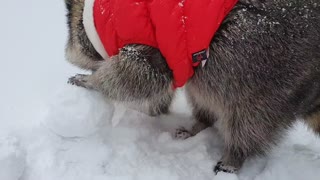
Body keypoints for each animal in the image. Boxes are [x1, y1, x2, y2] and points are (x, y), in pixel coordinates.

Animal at [63, 0, 320, 174]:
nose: (68, 54)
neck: (104, 12)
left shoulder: (149, 42)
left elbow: (139, 76)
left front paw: (94, 82)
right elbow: (161, 91)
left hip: (275, 76)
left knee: (250, 122)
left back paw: (234, 155)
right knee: (203, 92)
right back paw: (200, 123)